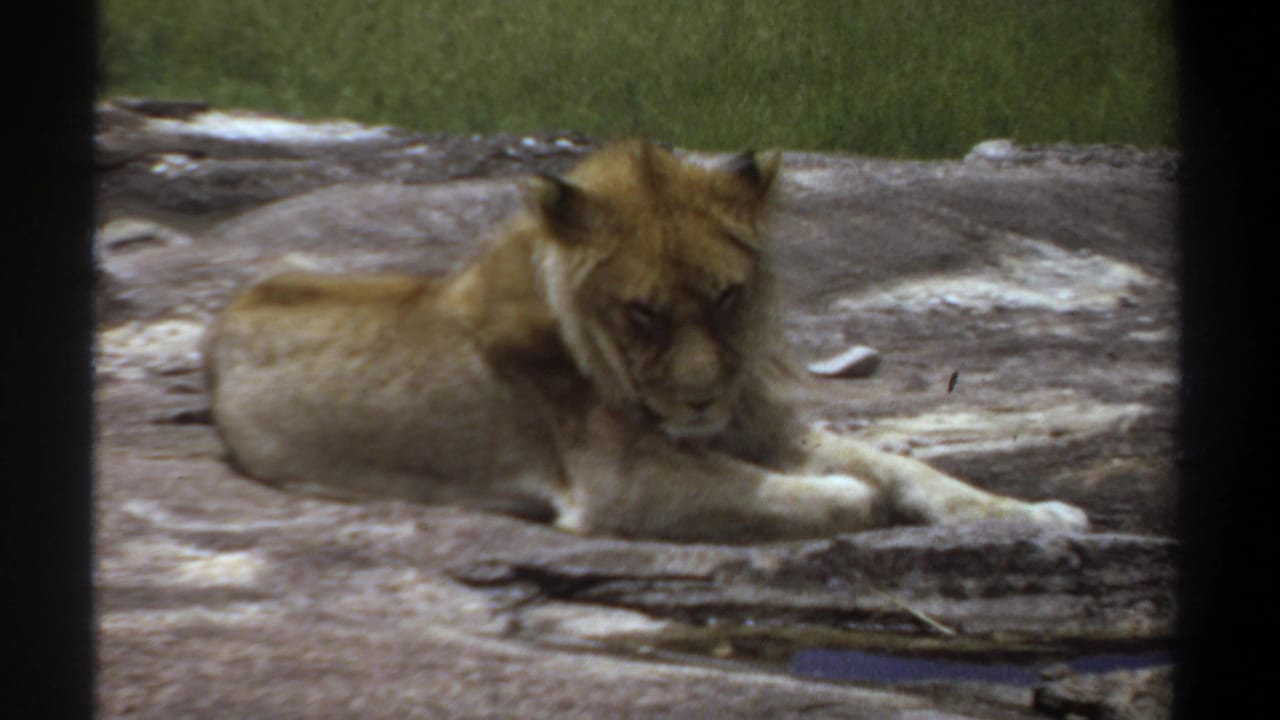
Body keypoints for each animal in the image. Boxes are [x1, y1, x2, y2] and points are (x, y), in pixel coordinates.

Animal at [204, 140, 1087, 542]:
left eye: (727, 297)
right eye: (644, 313)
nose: (700, 400)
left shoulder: (757, 424)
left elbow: (909, 466)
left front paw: (1035, 513)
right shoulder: (623, 484)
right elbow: (790, 491)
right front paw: (850, 498)